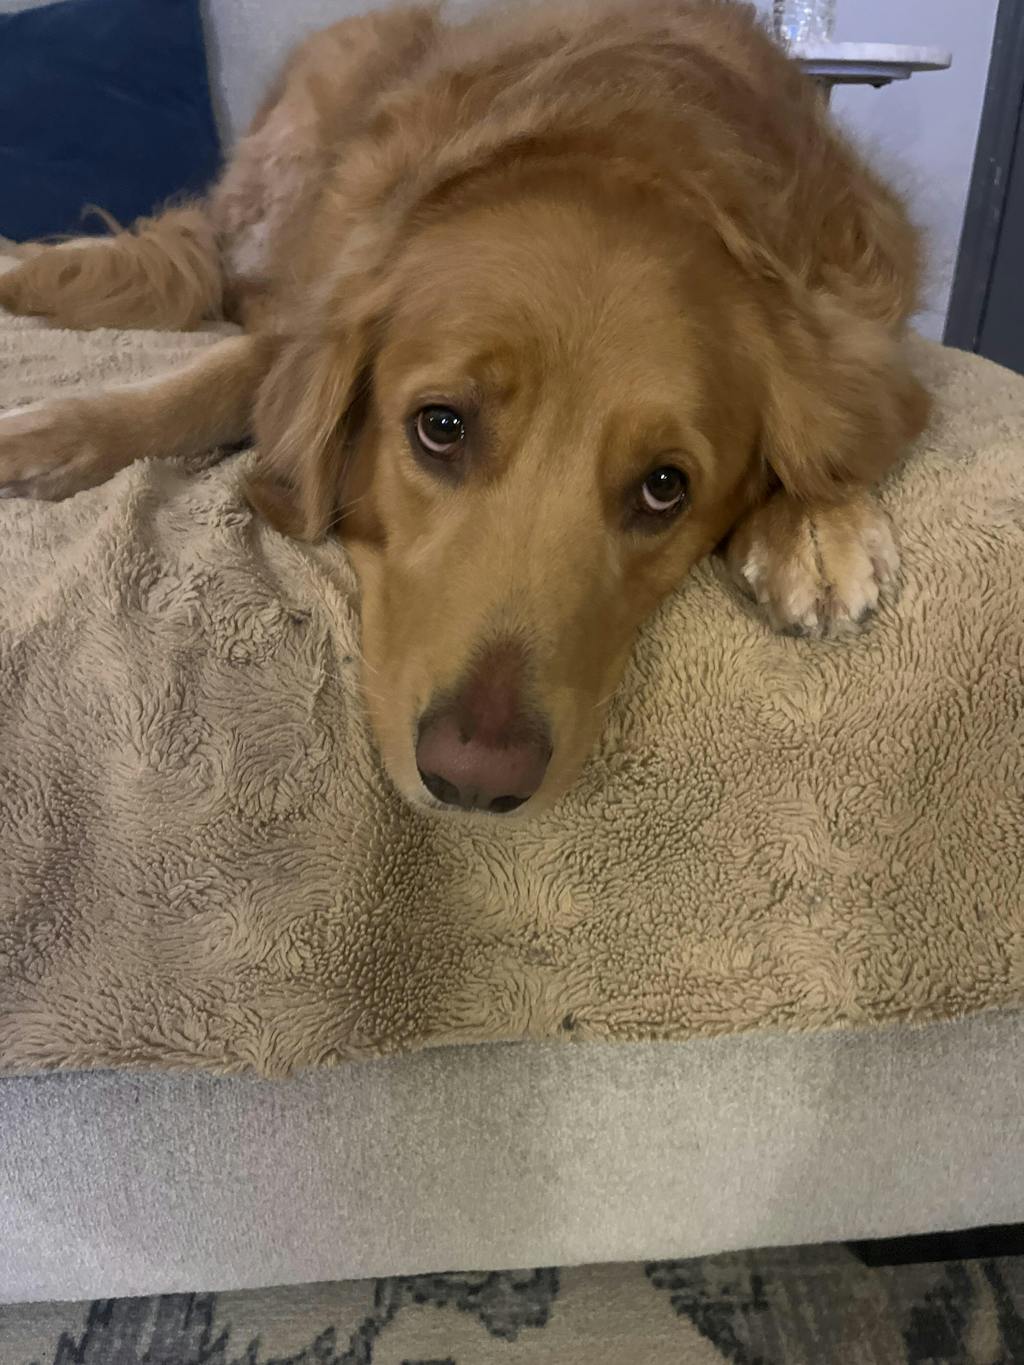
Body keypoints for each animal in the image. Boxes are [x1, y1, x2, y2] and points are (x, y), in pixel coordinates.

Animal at [0, 0, 929, 817]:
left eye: (665, 487)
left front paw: (816, 523)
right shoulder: (333, 290)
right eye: (440, 428)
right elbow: (211, 380)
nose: (476, 778)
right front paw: (47, 436)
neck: (628, 146)